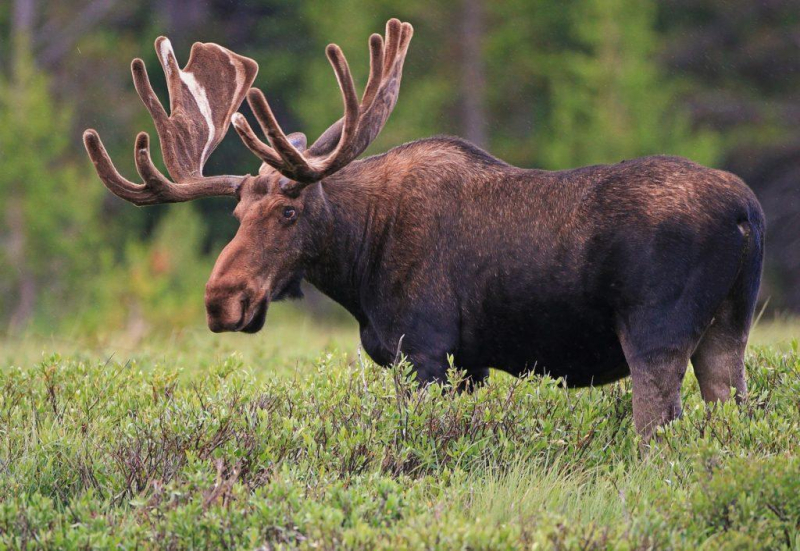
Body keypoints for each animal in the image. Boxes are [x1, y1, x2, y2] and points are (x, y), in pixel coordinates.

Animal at [83, 19, 764, 442]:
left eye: (289, 212)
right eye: (236, 215)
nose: (221, 300)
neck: (357, 265)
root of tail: (748, 213)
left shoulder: (427, 351)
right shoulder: (468, 365)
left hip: (656, 335)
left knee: (659, 436)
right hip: (727, 332)